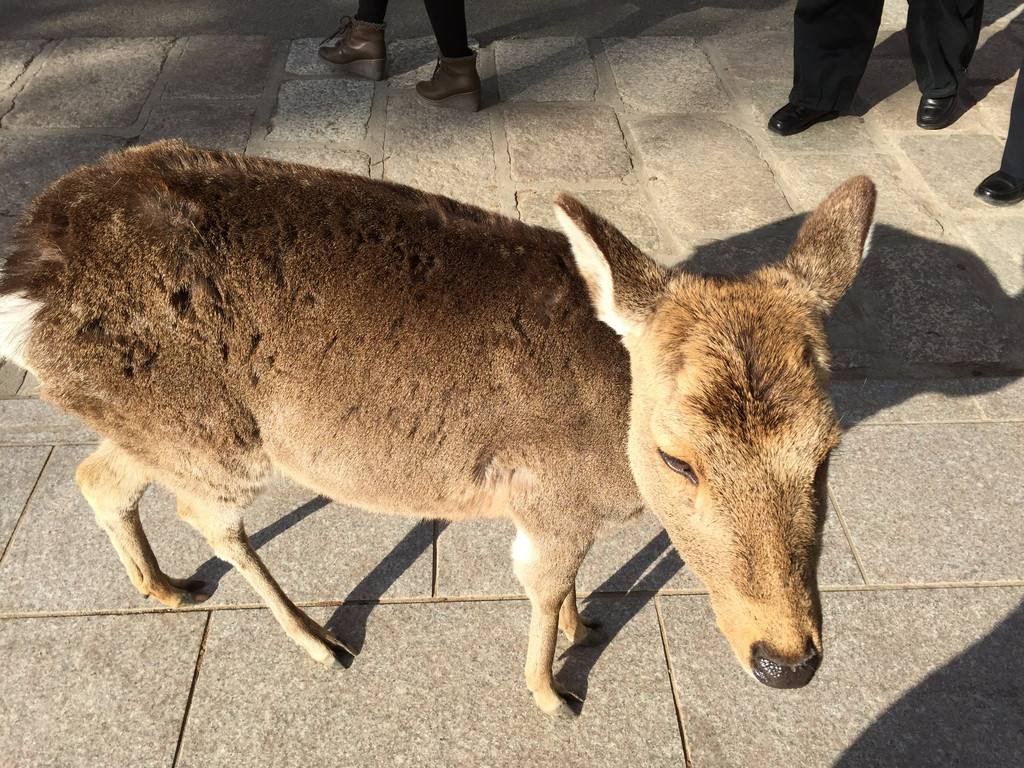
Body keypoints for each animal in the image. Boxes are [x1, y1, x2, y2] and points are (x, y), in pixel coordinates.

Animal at [0, 141, 876, 720]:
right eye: (677, 458)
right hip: (217, 439)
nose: (787, 661)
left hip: (157, 424)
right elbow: (541, 586)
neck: (613, 470)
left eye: (828, 449)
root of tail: (25, 284)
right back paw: (320, 641)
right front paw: (553, 693)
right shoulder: (547, 500)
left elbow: (568, 589)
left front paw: (587, 621)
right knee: (203, 515)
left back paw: (167, 588)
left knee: (97, 476)